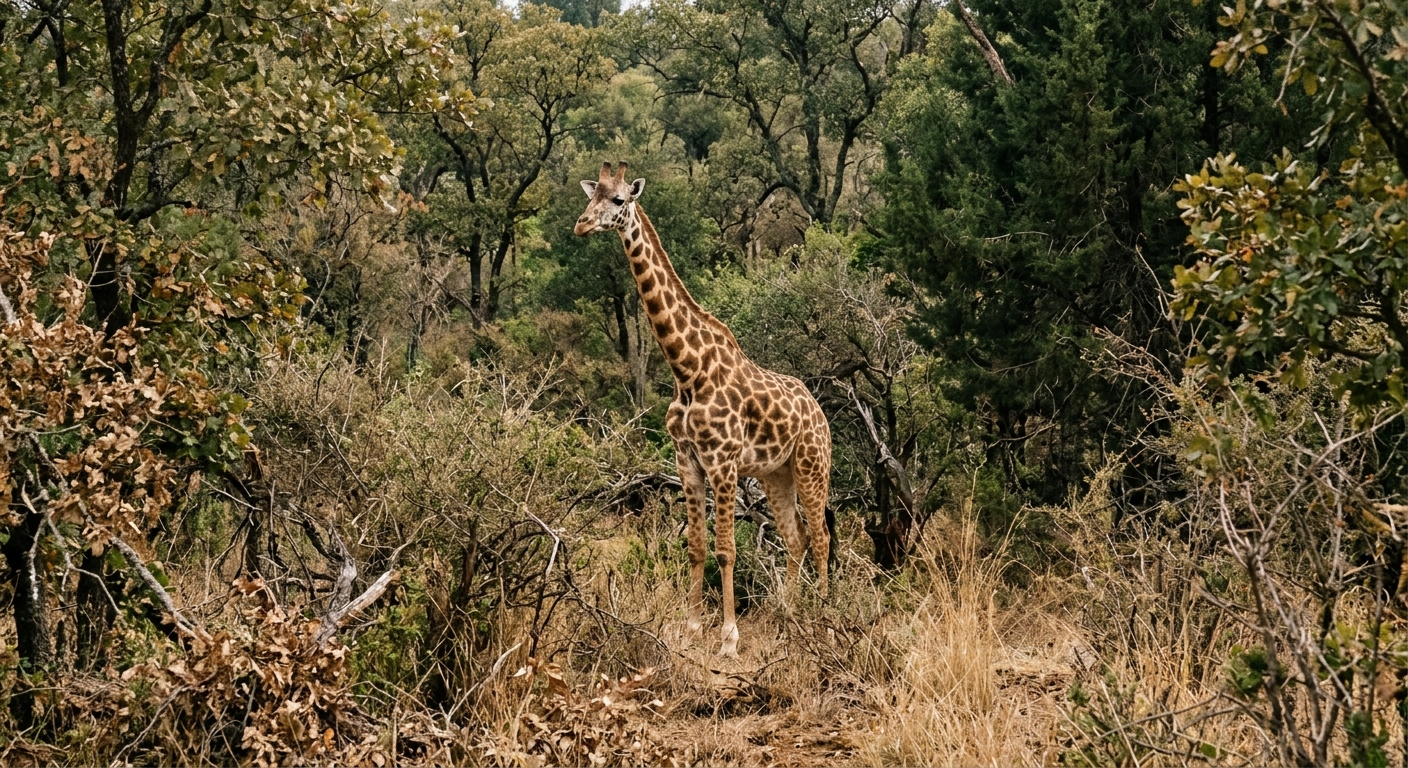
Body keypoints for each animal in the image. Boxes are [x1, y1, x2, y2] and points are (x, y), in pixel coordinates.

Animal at [575, 161, 832, 657]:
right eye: (590, 195)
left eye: (619, 200)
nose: (580, 225)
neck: (687, 370)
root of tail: (820, 413)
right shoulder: (687, 463)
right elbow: (695, 546)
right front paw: (692, 627)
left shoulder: (723, 463)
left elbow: (726, 549)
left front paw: (729, 637)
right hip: (777, 474)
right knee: (796, 536)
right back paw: (790, 614)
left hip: (813, 465)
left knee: (822, 535)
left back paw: (830, 619)